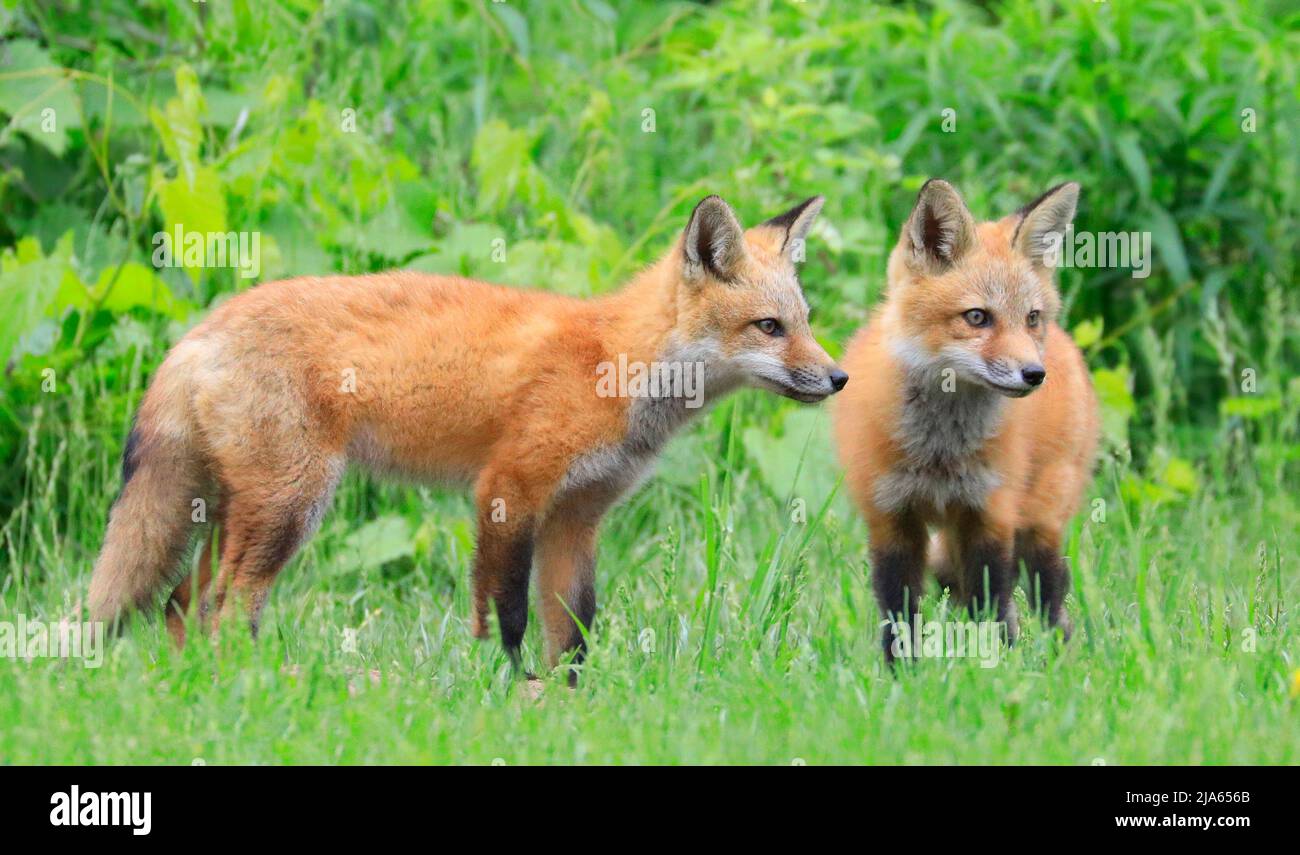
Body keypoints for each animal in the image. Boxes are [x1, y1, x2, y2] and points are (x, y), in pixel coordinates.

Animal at [86, 194, 847, 680]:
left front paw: (568, 699)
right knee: (224, 605)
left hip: (240, 510)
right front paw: (506, 686)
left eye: (805, 321)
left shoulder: (577, 516)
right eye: (769, 327)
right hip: (289, 507)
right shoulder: (509, 488)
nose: (840, 377)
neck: (616, 364)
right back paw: (249, 683)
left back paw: (195, 687)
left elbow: (575, 625)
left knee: (181, 602)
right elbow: (506, 610)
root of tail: (199, 330)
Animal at [832, 179, 1097, 660]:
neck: (939, 450)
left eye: (1030, 318)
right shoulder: (890, 517)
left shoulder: (989, 514)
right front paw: (901, 672)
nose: (1035, 374)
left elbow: (993, 607)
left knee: (1049, 601)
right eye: (977, 317)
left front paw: (997, 666)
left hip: (1039, 523)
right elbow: (899, 615)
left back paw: (1061, 660)